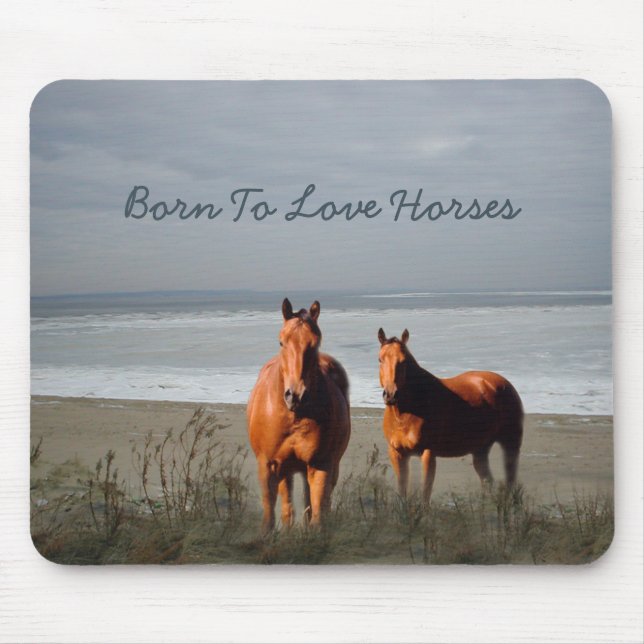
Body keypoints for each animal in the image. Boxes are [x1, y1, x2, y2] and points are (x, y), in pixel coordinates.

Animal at [247, 299, 351, 533]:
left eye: (315, 343)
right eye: (281, 342)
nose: (295, 395)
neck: (293, 417)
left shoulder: (320, 464)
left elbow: (317, 513)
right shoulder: (268, 465)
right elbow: (270, 515)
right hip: (286, 469)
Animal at [377, 327, 523, 503]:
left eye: (403, 361)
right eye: (380, 360)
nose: (391, 395)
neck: (406, 415)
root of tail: (504, 384)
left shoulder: (428, 453)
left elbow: (425, 492)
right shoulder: (397, 453)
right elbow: (402, 489)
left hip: (510, 444)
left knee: (510, 480)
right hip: (480, 450)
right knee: (488, 481)